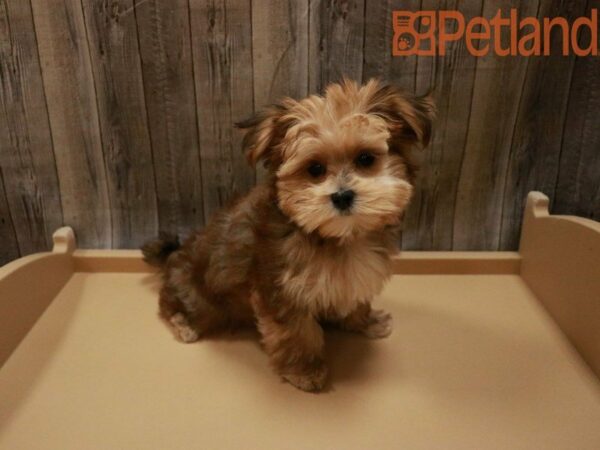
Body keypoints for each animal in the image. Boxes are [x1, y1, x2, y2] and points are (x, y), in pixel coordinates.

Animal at [143, 79, 434, 392]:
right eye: (315, 169)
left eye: (366, 159)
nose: (342, 196)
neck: (334, 237)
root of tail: (174, 257)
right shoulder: (281, 290)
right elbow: (296, 333)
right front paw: (305, 371)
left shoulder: (348, 278)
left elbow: (354, 298)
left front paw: (367, 321)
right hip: (200, 297)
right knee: (171, 304)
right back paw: (183, 323)